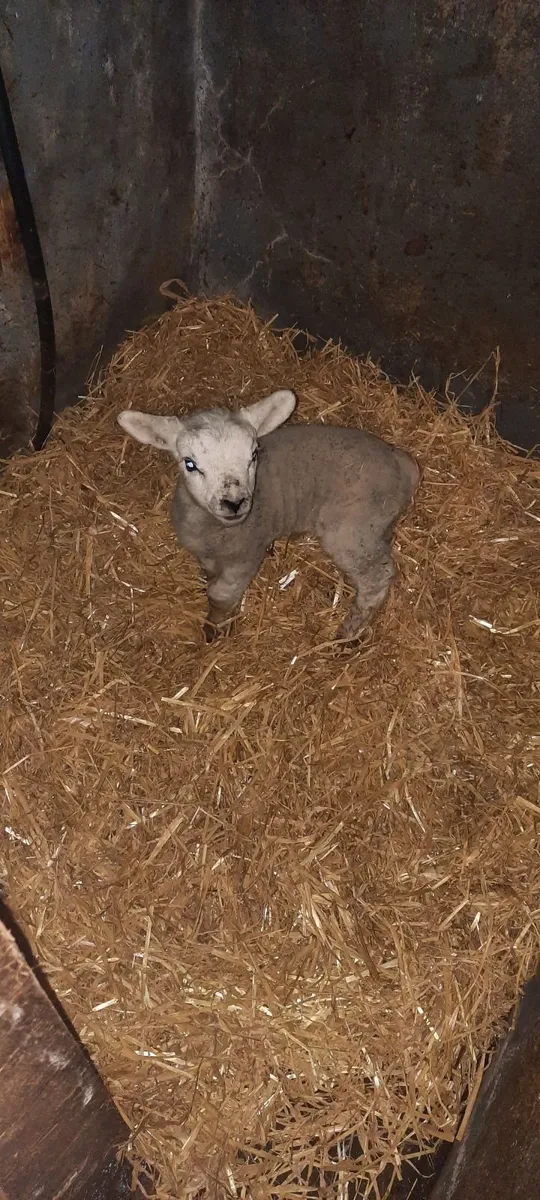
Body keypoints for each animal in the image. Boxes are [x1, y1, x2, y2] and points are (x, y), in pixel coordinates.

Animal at [117, 389, 419, 643]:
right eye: (190, 464)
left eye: (253, 455)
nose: (234, 502)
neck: (215, 530)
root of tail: (402, 463)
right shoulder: (208, 554)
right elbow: (210, 578)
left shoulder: (248, 554)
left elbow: (220, 595)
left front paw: (215, 628)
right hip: (375, 524)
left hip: (353, 527)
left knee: (377, 577)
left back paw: (348, 634)